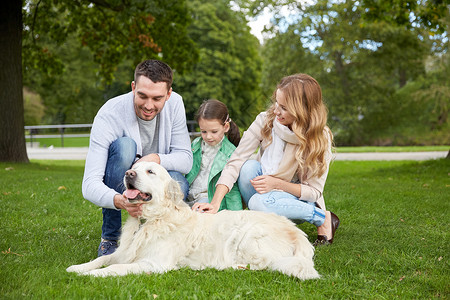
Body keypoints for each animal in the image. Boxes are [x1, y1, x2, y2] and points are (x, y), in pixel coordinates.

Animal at [67, 162, 320, 278]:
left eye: (150, 171)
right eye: (133, 168)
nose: (129, 174)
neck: (152, 219)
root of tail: (298, 234)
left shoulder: (153, 264)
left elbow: (116, 267)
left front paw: (91, 275)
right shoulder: (123, 252)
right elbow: (103, 259)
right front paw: (78, 267)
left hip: (247, 235)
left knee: (262, 264)